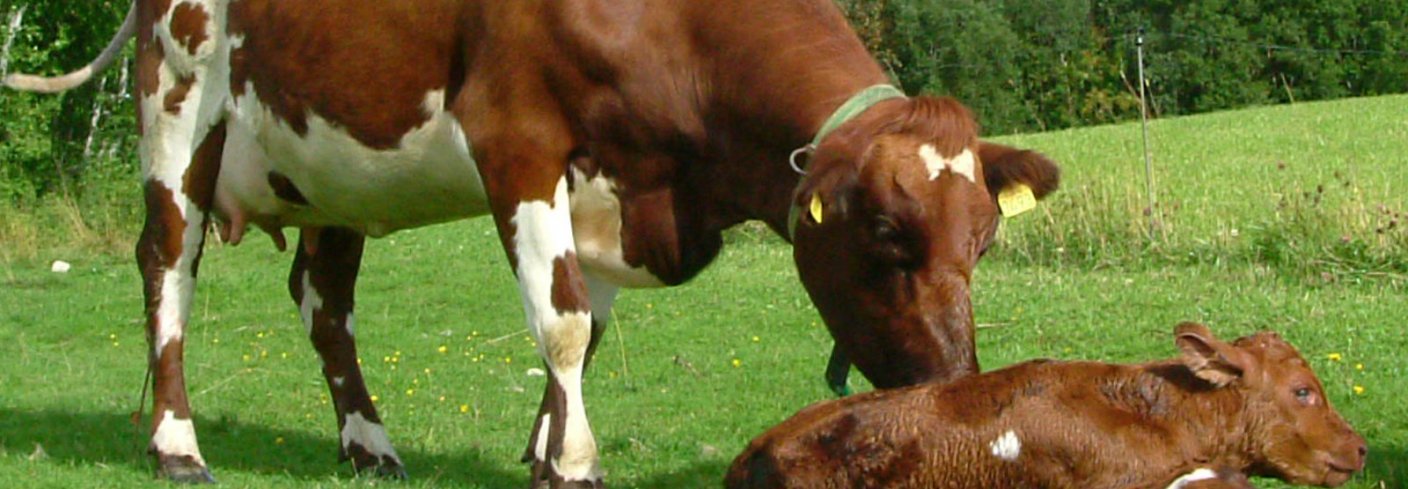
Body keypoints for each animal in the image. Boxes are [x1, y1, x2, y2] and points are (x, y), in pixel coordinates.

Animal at [8, 0, 1058, 487]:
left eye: (984, 240)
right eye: (885, 233)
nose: (957, 383)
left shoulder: (615, 185)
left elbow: (585, 331)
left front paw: (547, 449)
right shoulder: (518, 143)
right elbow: (559, 323)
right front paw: (577, 459)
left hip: (331, 165)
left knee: (324, 299)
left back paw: (369, 441)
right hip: (178, 107)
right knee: (166, 268)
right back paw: (176, 442)